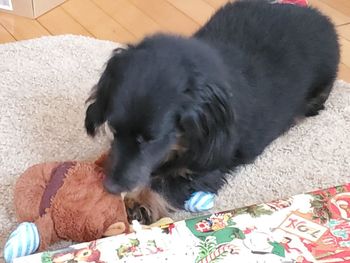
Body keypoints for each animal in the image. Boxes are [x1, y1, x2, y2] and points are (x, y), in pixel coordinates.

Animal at [84, 0, 340, 225]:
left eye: (151, 140)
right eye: (113, 129)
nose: (110, 187)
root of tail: (319, 15)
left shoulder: (210, 162)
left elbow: (170, 181)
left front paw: (139, 202)